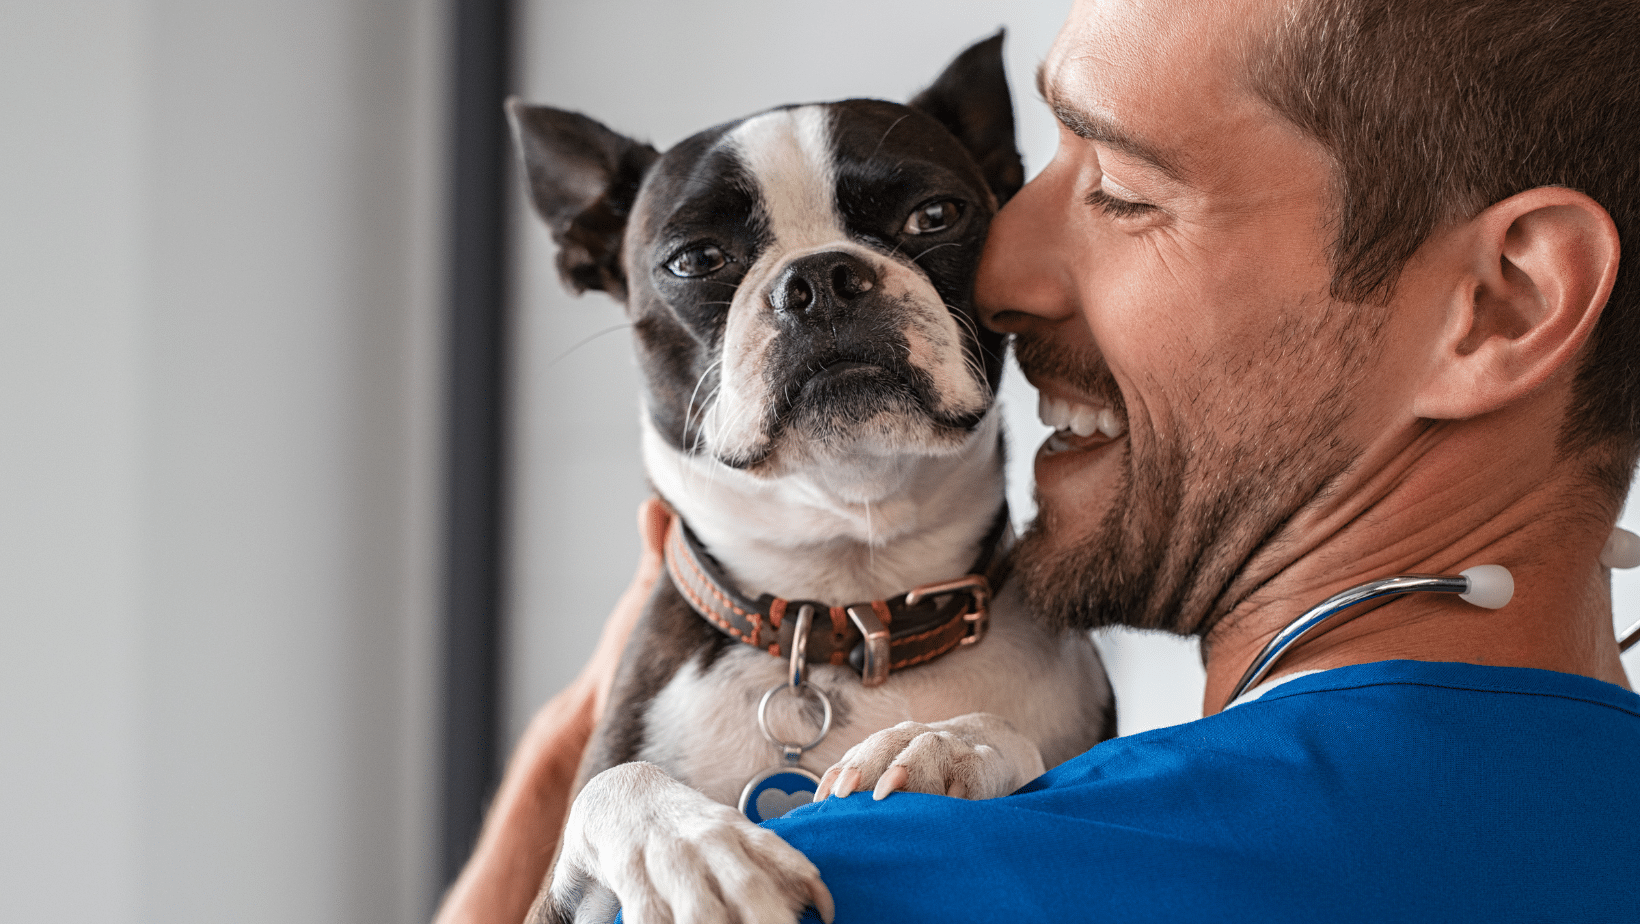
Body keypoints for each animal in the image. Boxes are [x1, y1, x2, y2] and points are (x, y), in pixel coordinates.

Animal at [505, 34, 1115, 924]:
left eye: (936, 215)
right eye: (696, 259)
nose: (822, 278)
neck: (844, 605)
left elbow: (1010, 736)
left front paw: (943, 743)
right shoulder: (552, 898)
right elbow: (616, 782)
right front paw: (692, 849)